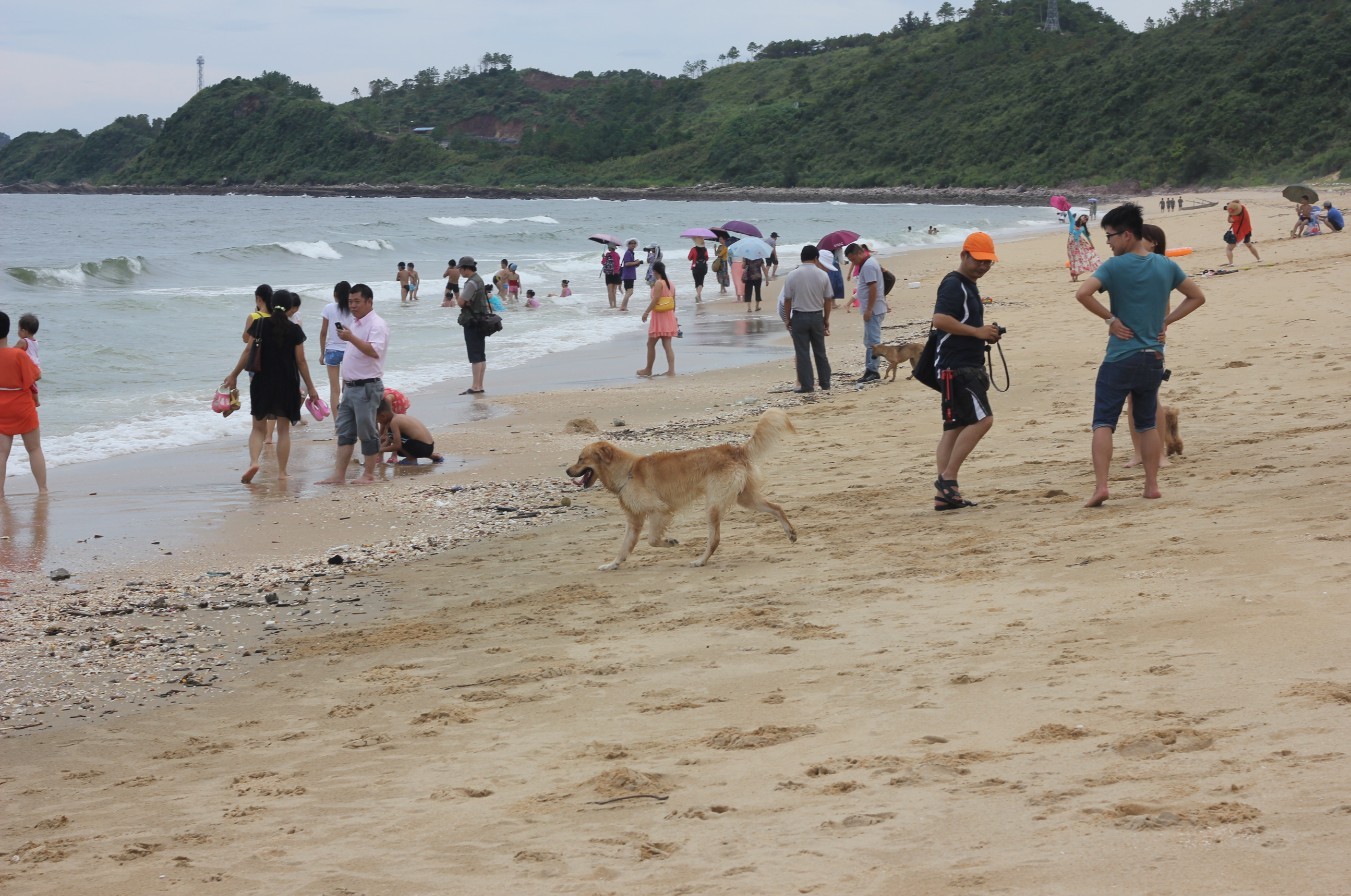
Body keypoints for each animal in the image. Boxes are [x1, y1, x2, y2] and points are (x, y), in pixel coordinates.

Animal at [564, 408, 794, 567]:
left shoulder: (660, 510)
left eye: (580, 459)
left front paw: (670, 541)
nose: (566, 471)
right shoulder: (634, 520)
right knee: (777, 508)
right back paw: (790, 532)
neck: (626, 472)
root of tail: (734, 450)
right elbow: (624, 548)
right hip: (745, 498)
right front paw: (612, 565)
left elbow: (652, 540)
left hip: (713, 506)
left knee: (715, 539)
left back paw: (700, 561)